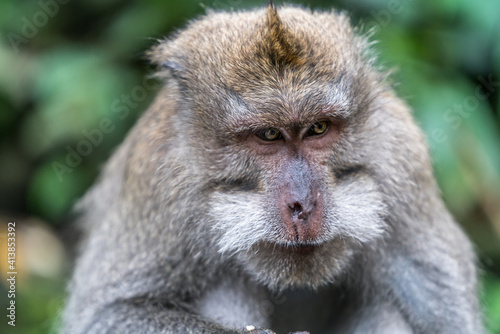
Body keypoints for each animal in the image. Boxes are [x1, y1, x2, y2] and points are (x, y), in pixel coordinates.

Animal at [60, 2, 482, 334]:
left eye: (318, 128)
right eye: (268, 135)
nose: (303, 205)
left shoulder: (400, 158)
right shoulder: (160, 175)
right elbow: (111, 313)